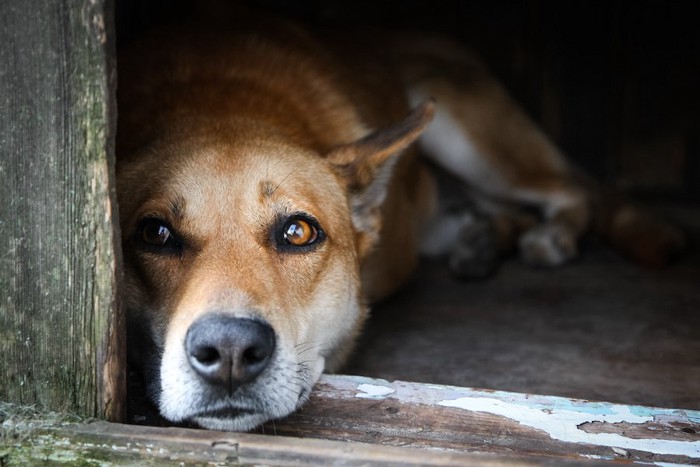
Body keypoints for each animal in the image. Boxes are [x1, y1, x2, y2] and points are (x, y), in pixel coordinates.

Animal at [116, 10, 684, 432]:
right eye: (156, 234)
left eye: (298, 232)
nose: (231, 350)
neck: (218, 107)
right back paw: (481, 243)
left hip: (465, 130)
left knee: (571, 190)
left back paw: (553, 235)